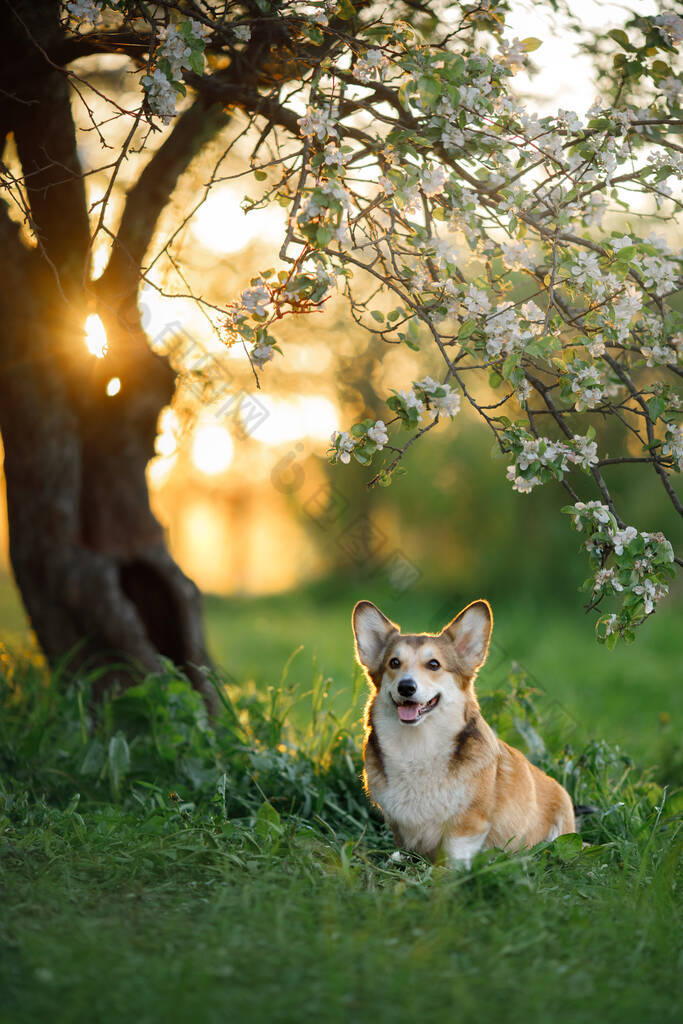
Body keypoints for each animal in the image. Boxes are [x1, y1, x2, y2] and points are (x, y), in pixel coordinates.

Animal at [352, 598, 577, 864]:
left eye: (434, 664)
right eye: (394, 663)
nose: (406, 687)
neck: (418, 746)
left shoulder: (469, 824)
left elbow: (455, 853)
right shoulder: (400, 825)